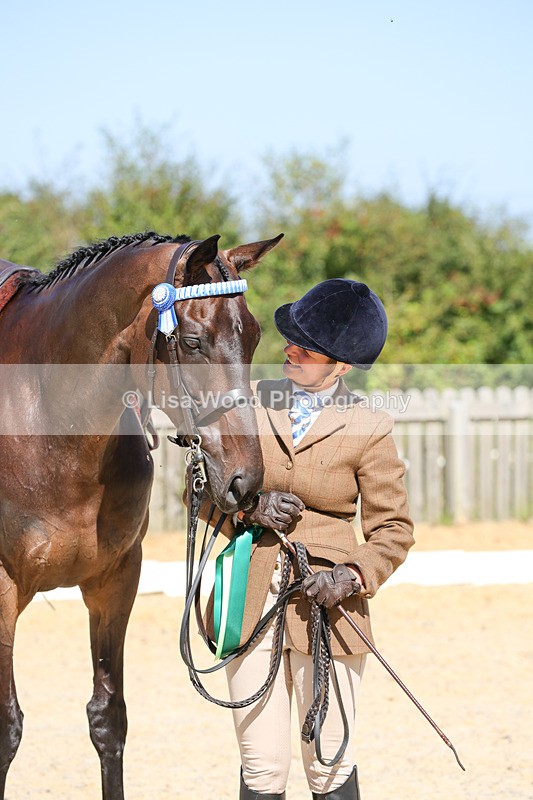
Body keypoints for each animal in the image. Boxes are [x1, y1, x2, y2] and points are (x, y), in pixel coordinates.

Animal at [0, 230, 283, 799]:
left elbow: (108, 718)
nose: (245, 482)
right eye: (193, 342)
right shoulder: (1, 589)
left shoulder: (116, 581)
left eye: (255, 337)